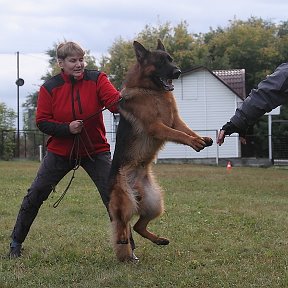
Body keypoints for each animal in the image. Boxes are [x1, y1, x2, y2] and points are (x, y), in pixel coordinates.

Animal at [109, 38, 213, 260]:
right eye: (160, 62)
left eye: (171, 59)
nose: (178, 72)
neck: (152, 91)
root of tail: (136, 187)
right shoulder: (158, 127)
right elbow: (180, 135)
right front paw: (195, 142)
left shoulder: (175, 121)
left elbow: (187, 130)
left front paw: (200, 138)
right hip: (126, 201)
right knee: (122, 222)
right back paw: (122, 238)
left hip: (155, 204)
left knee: (137, 226)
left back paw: (159, 240)